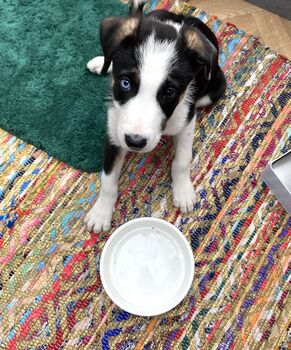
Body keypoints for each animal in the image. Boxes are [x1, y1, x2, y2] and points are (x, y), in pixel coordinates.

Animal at [84, 1, 226, 234]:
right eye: (125, 83)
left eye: (169, 92)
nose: (135, 142)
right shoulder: (114, 130)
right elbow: (108, 178)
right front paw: (101, 212)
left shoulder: (187, 119)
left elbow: (183, 160)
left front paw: (183, 191)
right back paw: (101, 62)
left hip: (215, 88)